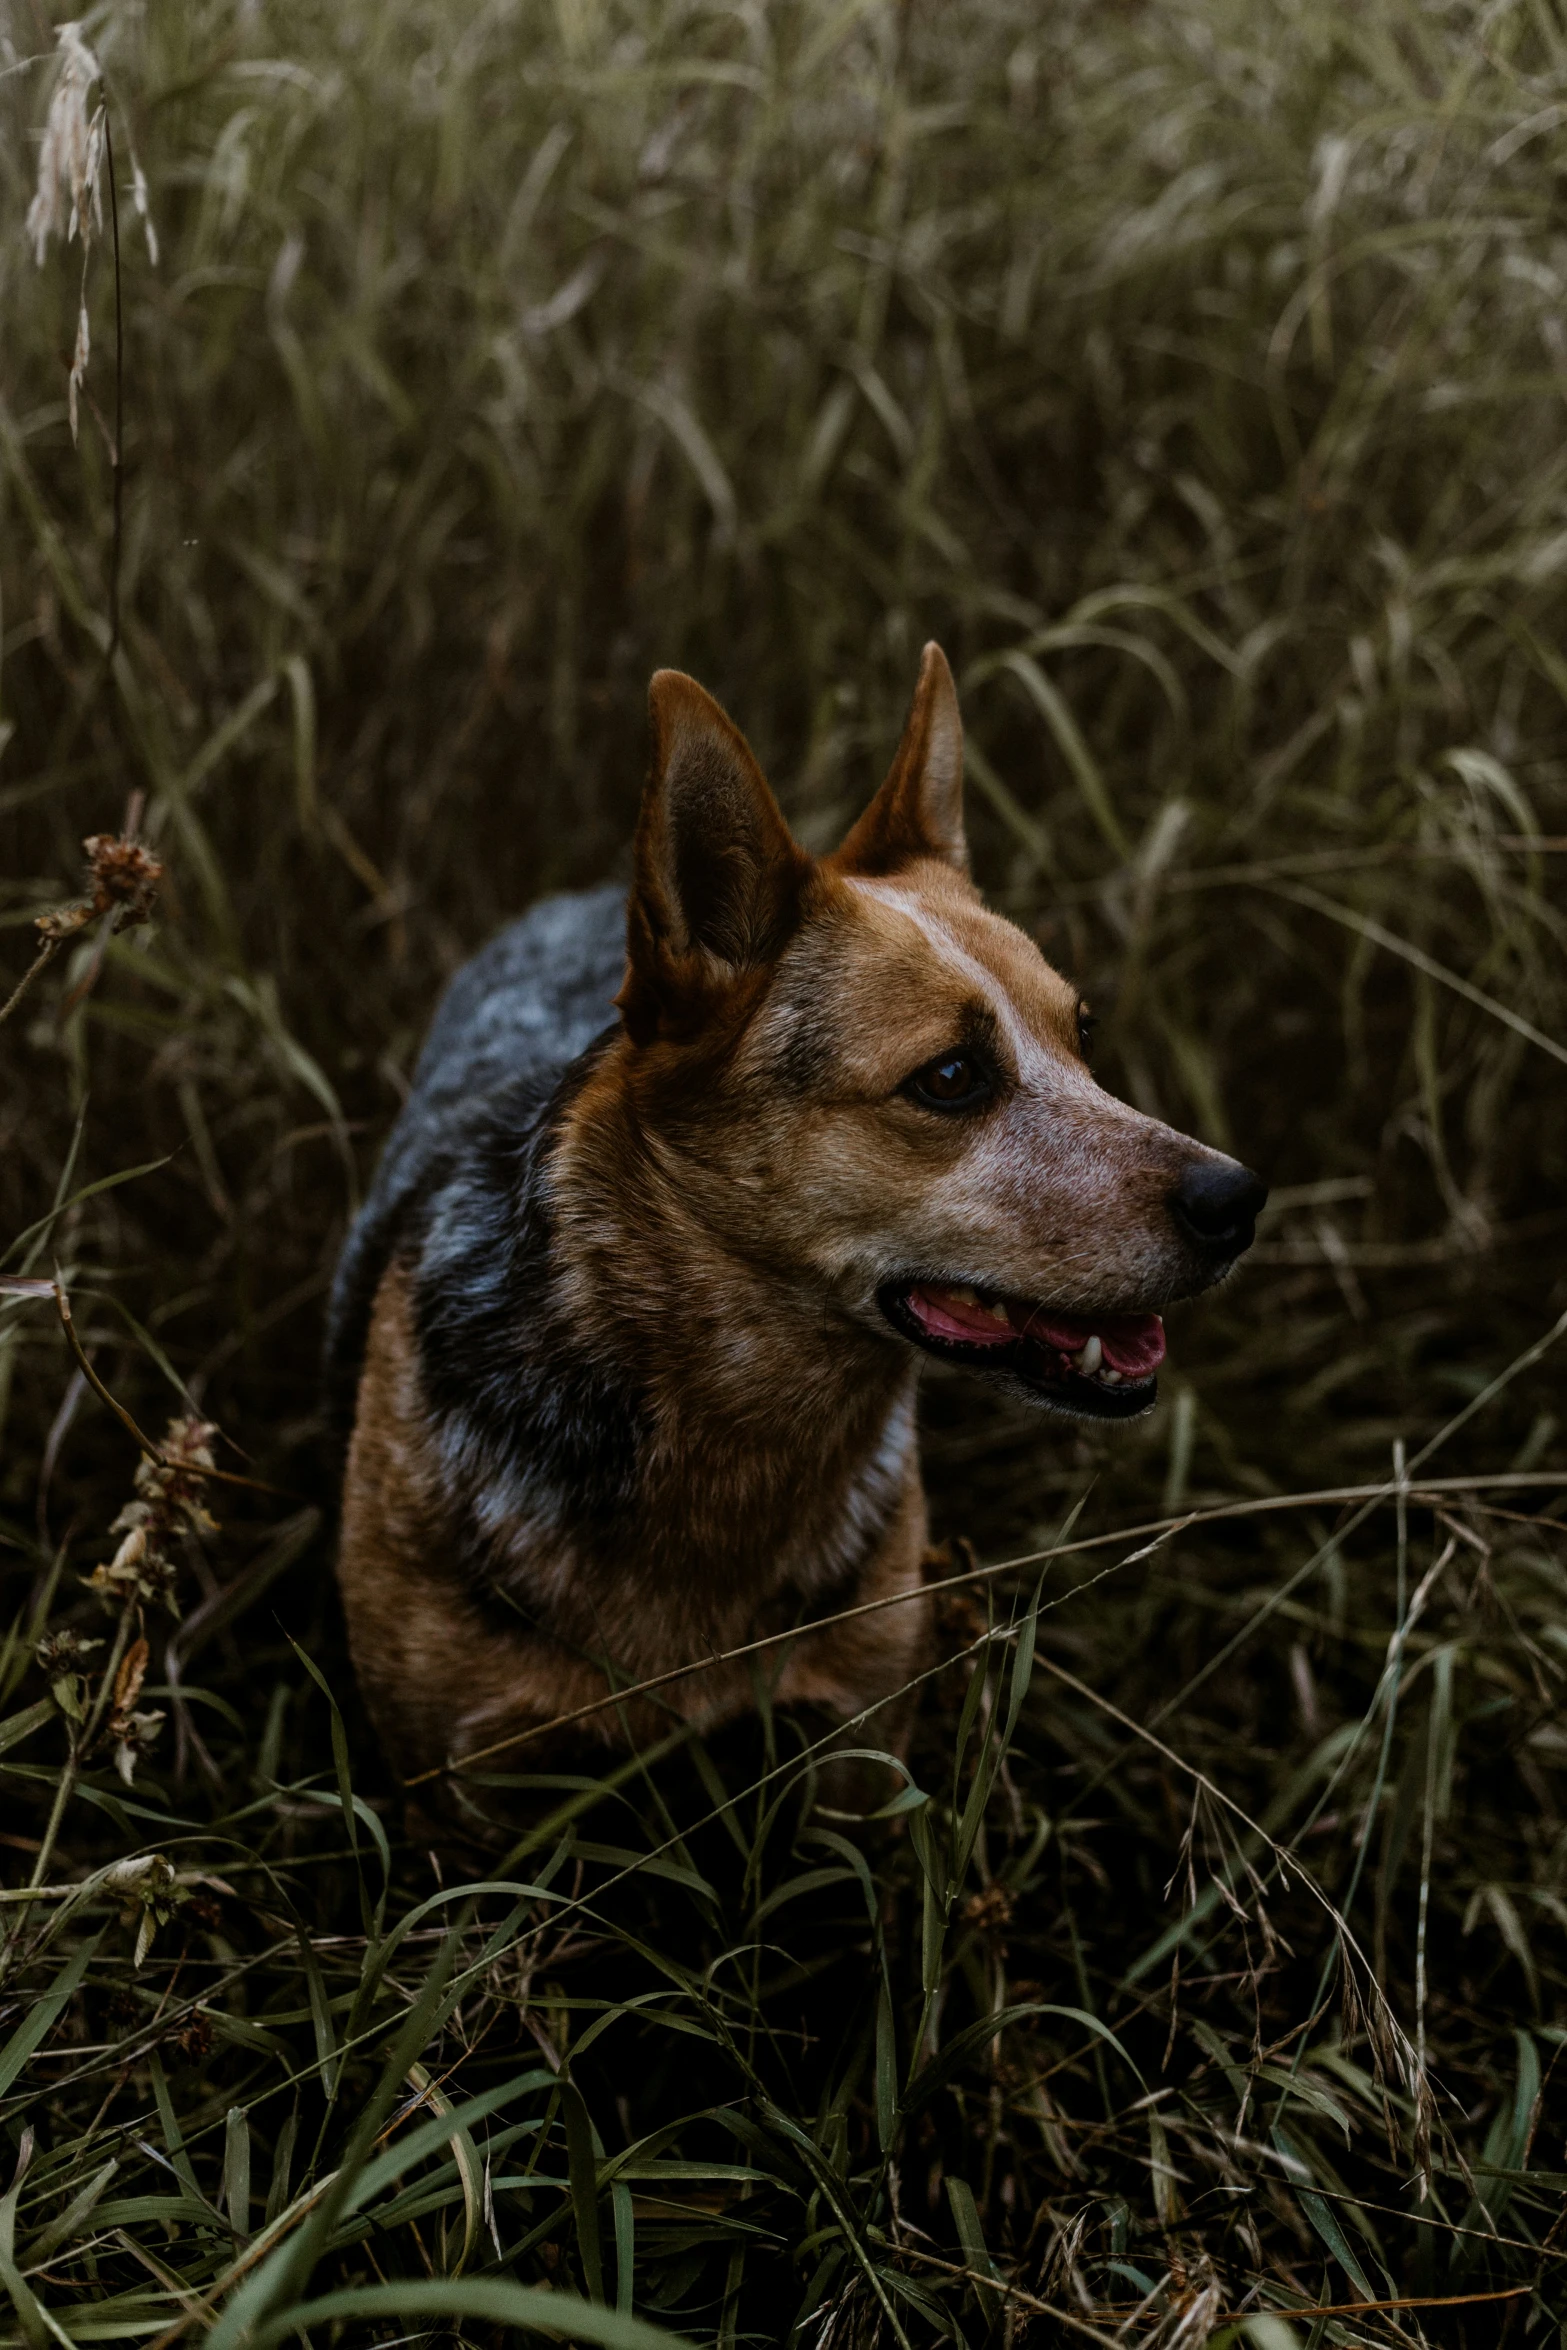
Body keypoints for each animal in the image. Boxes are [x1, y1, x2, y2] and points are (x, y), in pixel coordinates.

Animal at [328, 643, 1259, 1814]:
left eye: (1081, 1036)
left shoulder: (855, 1746)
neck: (732, 1426)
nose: (1238, 1198)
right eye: (950, 1077)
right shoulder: (456, 1781)